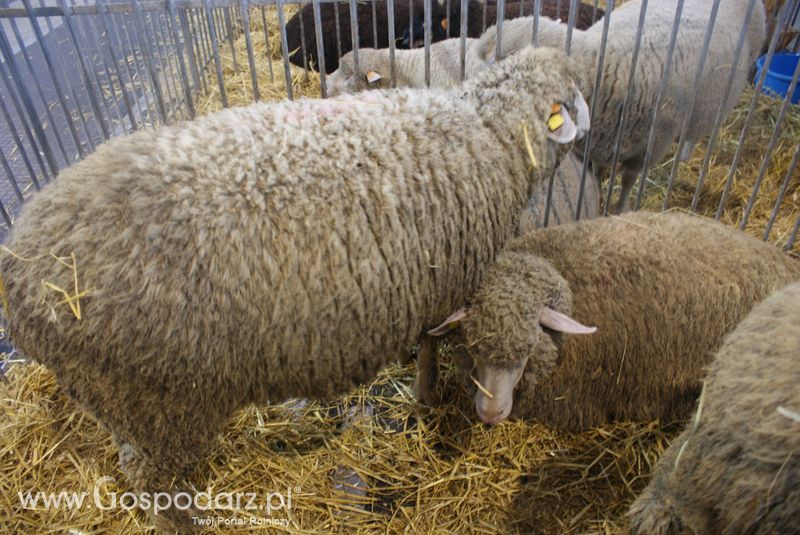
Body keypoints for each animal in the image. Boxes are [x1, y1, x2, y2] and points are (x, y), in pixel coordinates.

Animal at [0, 46, 588, 532]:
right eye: (574, 92)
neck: (489, 128)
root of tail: (21, 273)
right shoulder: (445, 278)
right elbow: (430, 348)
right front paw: (426, 397)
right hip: (158, 400)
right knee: (148, 477)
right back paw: (185, 523)